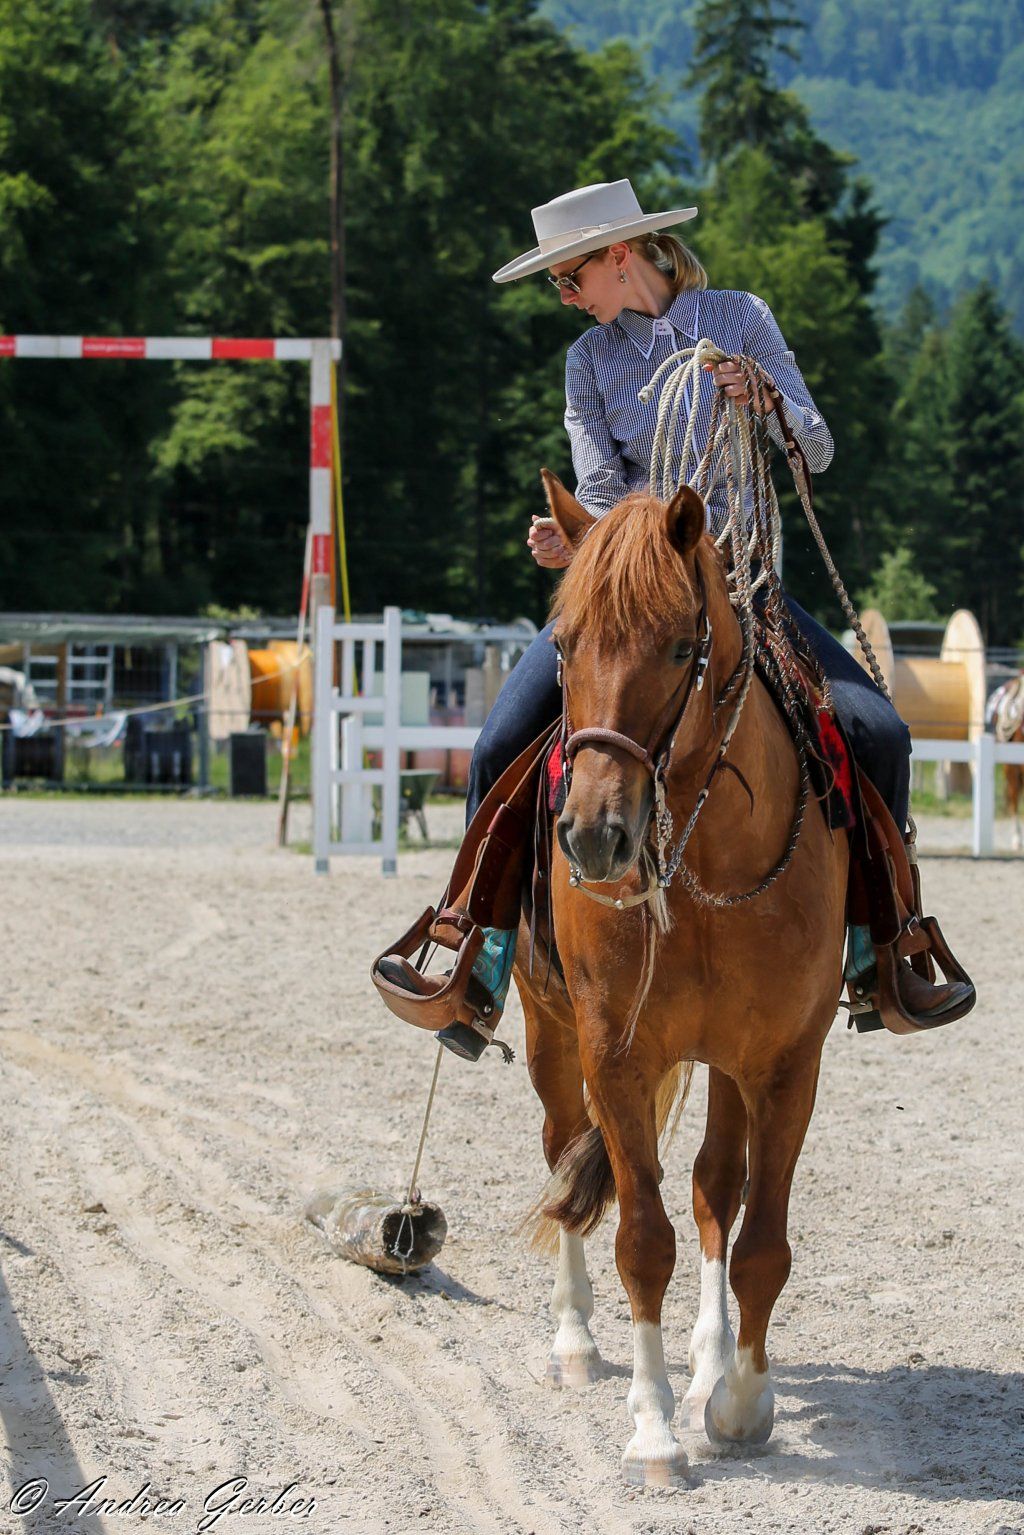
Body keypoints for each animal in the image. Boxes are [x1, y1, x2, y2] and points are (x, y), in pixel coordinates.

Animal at [513, 472, 849, 1485]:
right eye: (565, 643)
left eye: (678, 645)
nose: (594, 835)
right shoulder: (614, 1055)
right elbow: (640, 1237)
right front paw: (656, 1427)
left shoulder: (786, 1062)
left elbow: (761, 1241)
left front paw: (739, 1401)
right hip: (549, 1033)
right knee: (564, 1157)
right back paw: (576, 1340)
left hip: (728, 1063)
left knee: (714, 1187)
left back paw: (711, 1358)